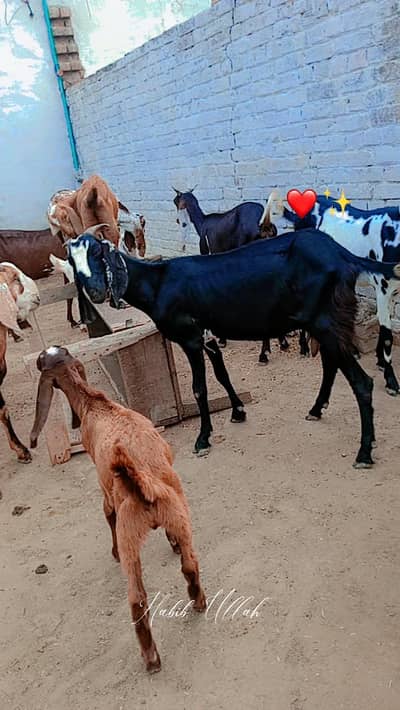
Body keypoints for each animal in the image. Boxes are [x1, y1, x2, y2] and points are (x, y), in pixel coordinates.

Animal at [30, 346, 206, 672]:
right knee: (189, 564)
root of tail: (141, 483)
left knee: (137, 598)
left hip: (129, 539)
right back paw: (198, 601)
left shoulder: (105, 490)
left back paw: (151, 658)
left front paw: (110, 553)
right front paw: (171, 543)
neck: (96, 404)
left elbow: (106, 514)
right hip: (179, 512)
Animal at [67, 229, 400, 468]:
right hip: (324, 321)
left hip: (325, 320)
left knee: (361, 382)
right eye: (72, 261)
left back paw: (364, 452)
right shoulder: (209, 336)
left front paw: (203, 439)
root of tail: (341, 254)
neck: (159, 283)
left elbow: (200, 388)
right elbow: (222, 375)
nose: (96, 291)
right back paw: (316, 409)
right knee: (332, 363)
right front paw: (238, 410)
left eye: (96, 252)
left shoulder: (190, 338)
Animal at [173, 188, 285, 362]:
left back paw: (263, 353)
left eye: (176, 200)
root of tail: (263, 224)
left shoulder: (208, 253)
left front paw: (222, 339)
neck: (202, 223)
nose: (179, 221)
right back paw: (281, 343)